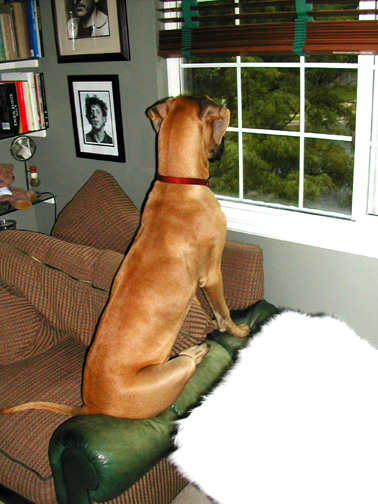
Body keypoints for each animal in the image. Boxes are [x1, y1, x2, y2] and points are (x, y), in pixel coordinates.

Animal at [0, 94, 251, 418]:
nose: (221, 151)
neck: (178, 181)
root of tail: (88, 405)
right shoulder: (212, 274)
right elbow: (223, 311)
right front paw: (237, 330)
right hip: (173, 371)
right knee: (187, 363)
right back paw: (196, 351)